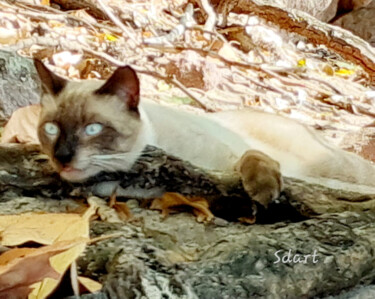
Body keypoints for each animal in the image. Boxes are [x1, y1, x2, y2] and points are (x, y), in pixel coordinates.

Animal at [33, 60, 375, 211]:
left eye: (92, 128)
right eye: (51, 128)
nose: (62, 157)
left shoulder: (228, 158)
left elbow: (251, 159)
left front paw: (263, 191)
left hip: (335, 165)